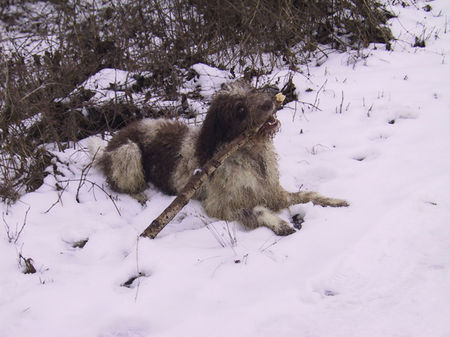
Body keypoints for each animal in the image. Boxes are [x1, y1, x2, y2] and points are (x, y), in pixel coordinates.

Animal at [89, 80, 346, 235]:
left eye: (252, 92)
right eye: (239, 109)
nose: (269, 102)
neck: (251, 156)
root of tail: (112, 140)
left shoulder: (274, 192)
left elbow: (308, 194)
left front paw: (334, 201)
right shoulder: (220, 206)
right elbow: (256, 210)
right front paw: (280, 223)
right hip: (128, 151)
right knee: (123, 182)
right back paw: (141, 195)